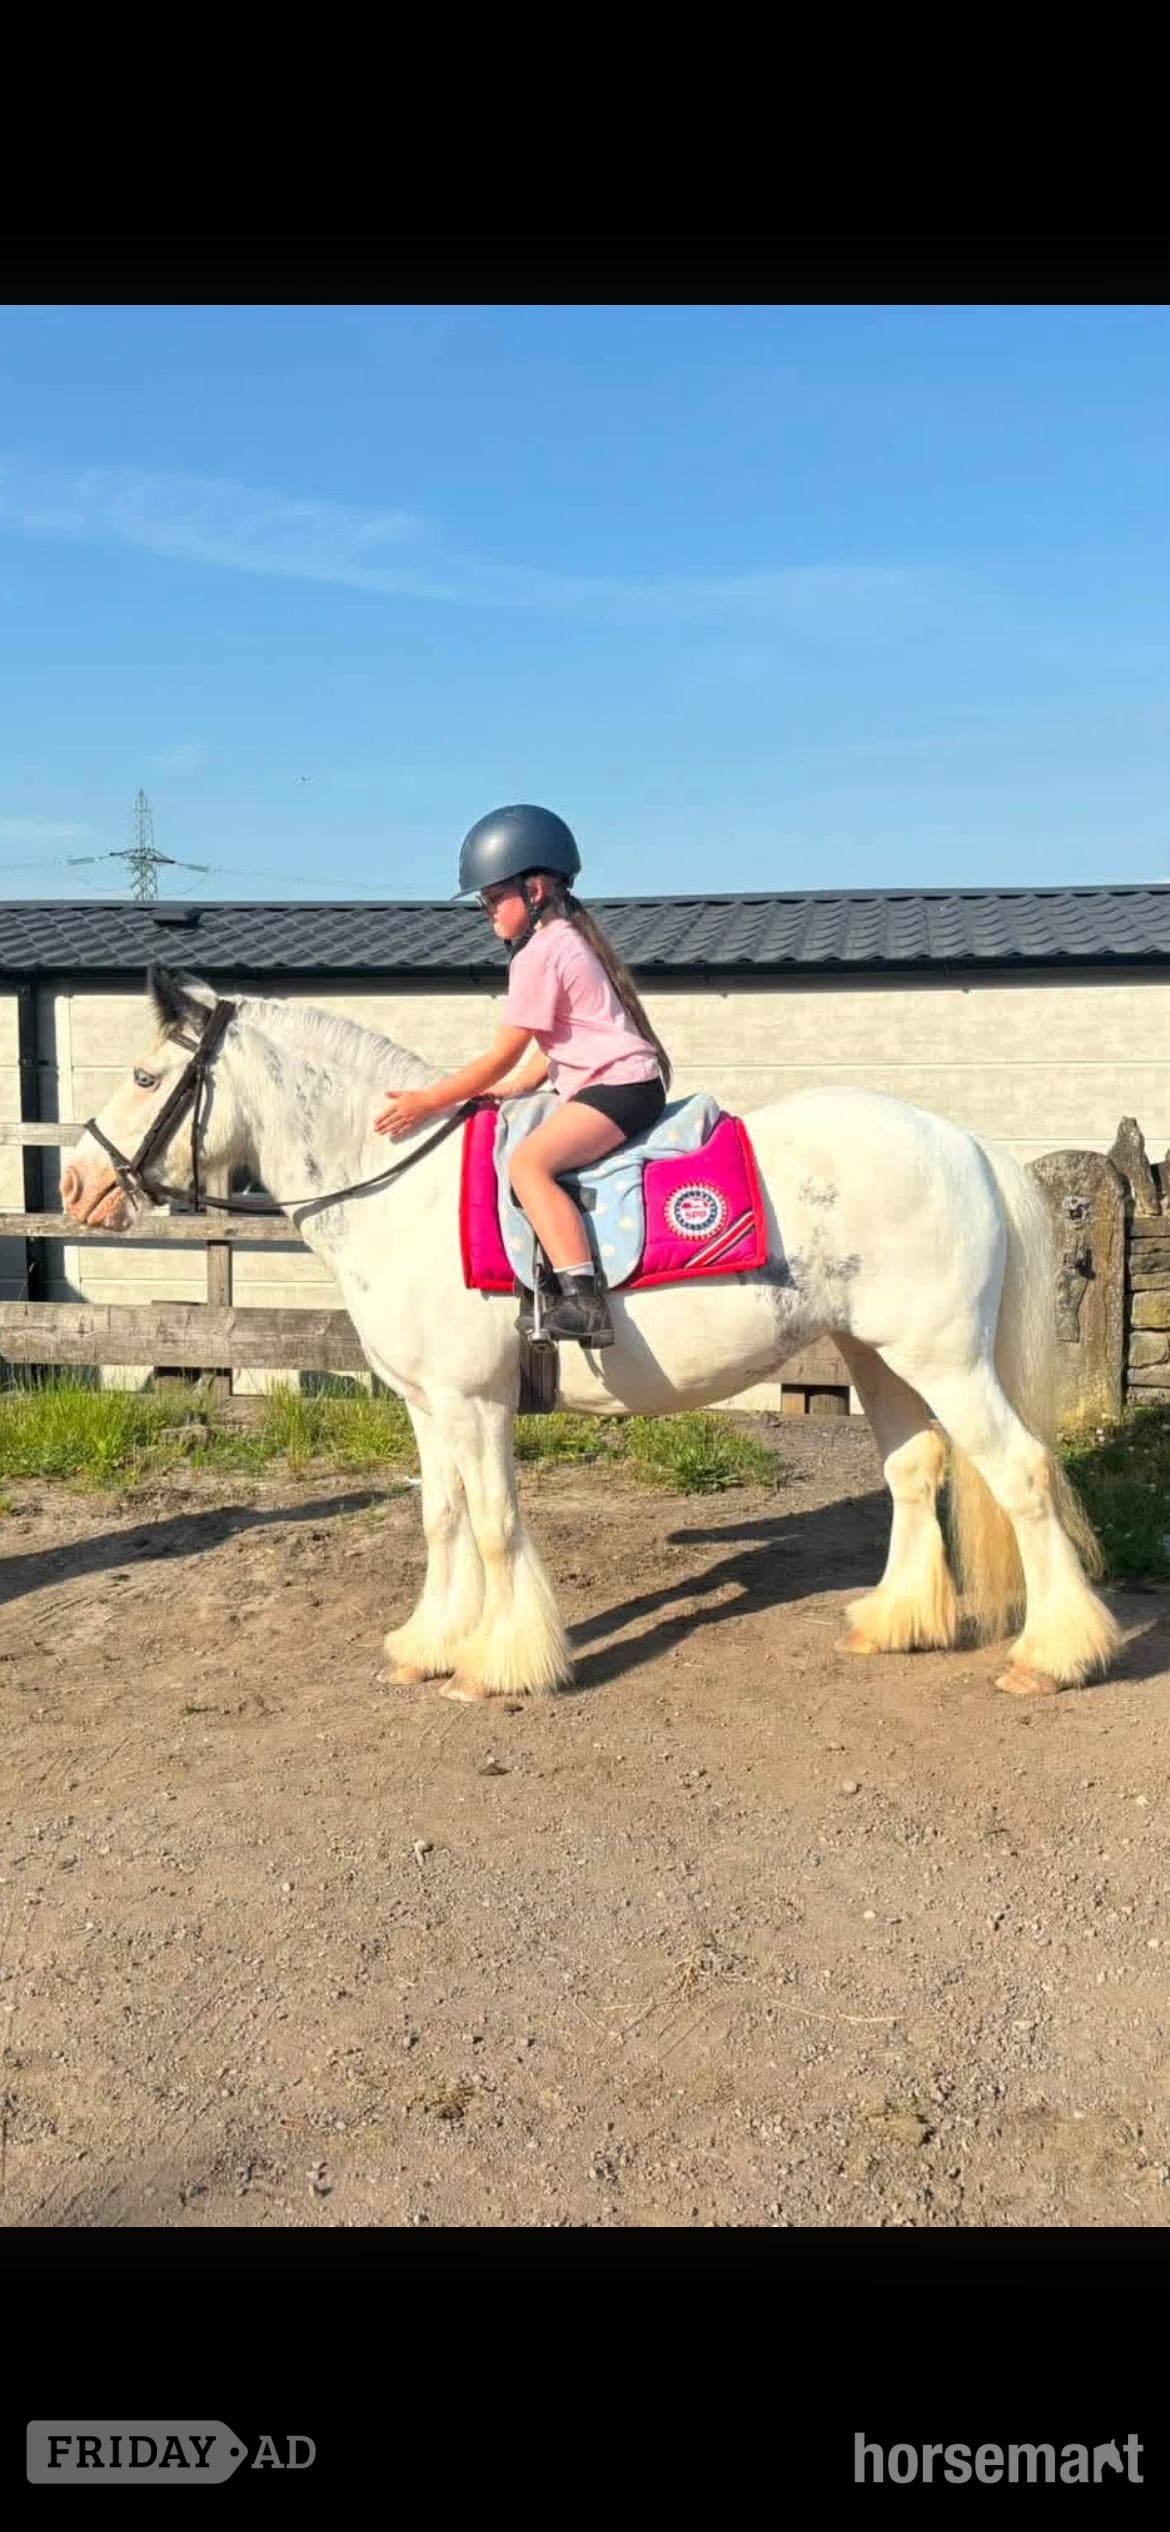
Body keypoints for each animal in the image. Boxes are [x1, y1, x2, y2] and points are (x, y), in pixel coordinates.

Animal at [58, 968, 1121, 1705]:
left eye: (146, 1075)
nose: (77, 1184)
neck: (402, 1188)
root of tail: (962, 1141)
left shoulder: (476, 1403)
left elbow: (493, 1523)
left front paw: (500, 1664)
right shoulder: (428, 1405)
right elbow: (440, 1517)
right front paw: (429, 1644)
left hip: (943, 1356)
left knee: (1021, 1474)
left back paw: (1054, 1655)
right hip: (880, 1354)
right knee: (916, 1471)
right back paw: (894, 1623)